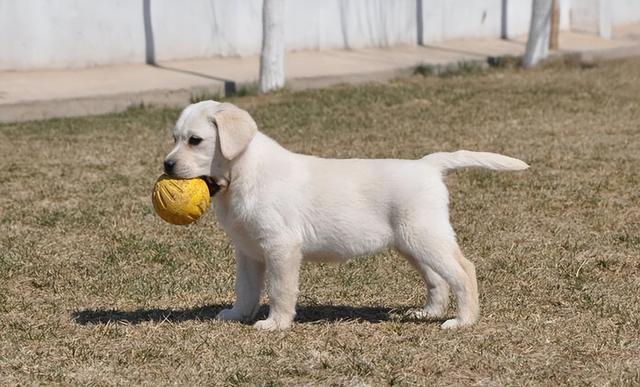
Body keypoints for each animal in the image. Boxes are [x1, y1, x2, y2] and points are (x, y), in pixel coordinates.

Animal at [162, 100, 528, 330]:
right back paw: (427, 313)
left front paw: (276, 323)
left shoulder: (281, 247)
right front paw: (238, 315)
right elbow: (246, 289)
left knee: (464, 270)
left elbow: (280, 289)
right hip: (411, 243)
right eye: (175, 138)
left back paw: (463, 320)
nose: (166, 164)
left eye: (195, 140)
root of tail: (427, 165)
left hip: (426, 236)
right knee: (438, 279)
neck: (244, 173)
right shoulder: (249, 252)